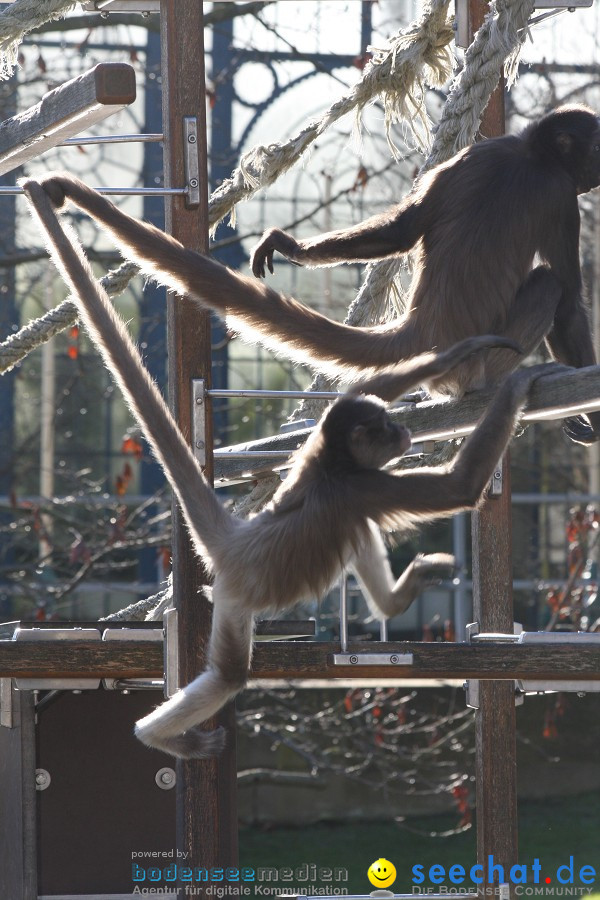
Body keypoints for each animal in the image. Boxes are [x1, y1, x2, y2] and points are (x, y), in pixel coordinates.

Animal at [22, 178, 564, 760]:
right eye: (384, 430)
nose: (399, 432)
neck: (331, 465)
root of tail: (238, 542)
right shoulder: (359, 487)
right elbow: (457, 488)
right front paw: (518, 386)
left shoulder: (320, 456)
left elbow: (361, 389)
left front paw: (462, 353)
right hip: (237, 600)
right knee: (230, 674)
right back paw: (156, 736)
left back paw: (394, 598)